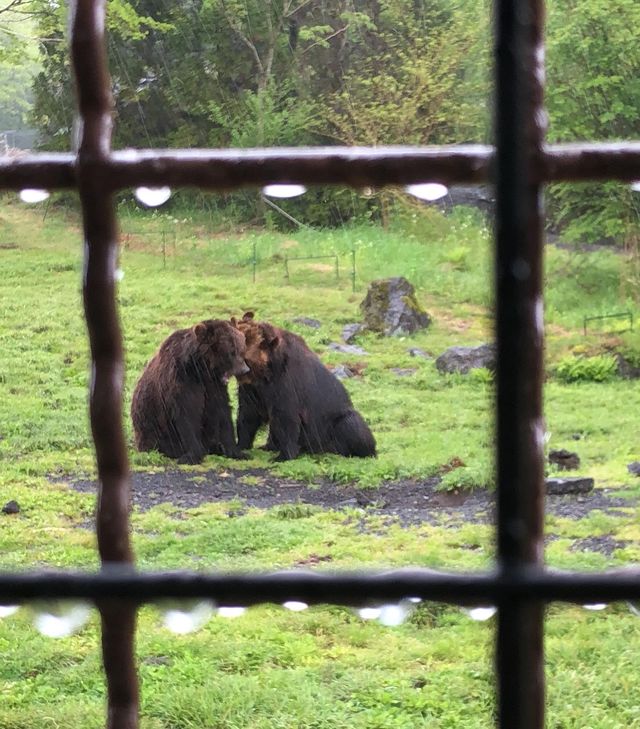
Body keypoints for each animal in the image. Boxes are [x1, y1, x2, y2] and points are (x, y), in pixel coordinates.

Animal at [131, 318, 249, 460]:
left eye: (241, 347)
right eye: (231, 351)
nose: (245, 369)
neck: (201, 371)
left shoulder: (214, 387)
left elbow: (222, 412)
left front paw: (237, 452)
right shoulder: (182, 382)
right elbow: (187, 415)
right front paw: (192, 455)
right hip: (152, 431)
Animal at [235, 312, 376, 460]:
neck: (265, 373)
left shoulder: (285, 384)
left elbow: (286, 417)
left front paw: (283, 455)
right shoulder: (253, 389)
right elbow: (248, 414)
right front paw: (241, 446)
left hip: (334, 422)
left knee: (352, 425)